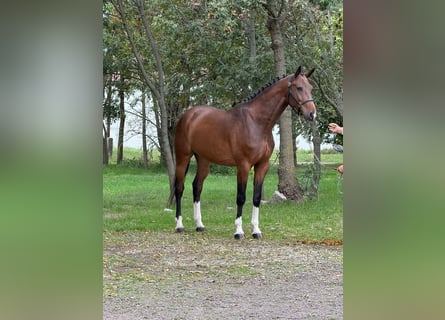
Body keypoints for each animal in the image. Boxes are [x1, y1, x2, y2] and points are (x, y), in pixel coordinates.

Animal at [170, 66, 316, 239]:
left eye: (311, 88)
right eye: (299, 87)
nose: (312, 114)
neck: (256, 122)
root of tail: (187, 116)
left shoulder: (262, 165)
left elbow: (256, 197)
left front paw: (256, 230)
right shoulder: (243, 165)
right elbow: (241, 197)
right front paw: (239, 231)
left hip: (204, 161)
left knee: (197, 187)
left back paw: (199, 225)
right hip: (183, 158)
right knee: (179, 188)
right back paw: (179, 225)